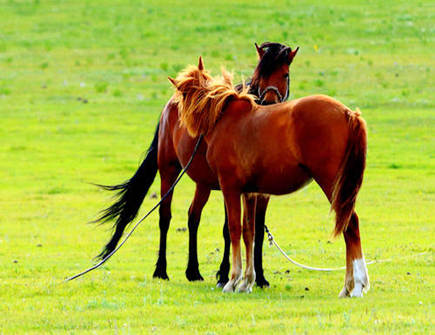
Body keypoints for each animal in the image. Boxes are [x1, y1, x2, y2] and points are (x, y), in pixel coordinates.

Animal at [95, 42, 300, 288]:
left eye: (285, 74)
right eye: (259, 74)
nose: (269, 102)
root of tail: (172, 102)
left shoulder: (260, 191)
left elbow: (256, 229)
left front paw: (259, 277)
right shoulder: (230, 185)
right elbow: (229, 228)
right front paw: (224, 274)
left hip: (203, 183)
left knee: (193, 217)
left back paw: (193, 270)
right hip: (169, 171)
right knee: (165, 216)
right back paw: (162, 270)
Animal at [170, 61, 372, 298]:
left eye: (181, 96)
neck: (225, 118)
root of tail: (348, 113)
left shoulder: (230, 188)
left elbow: (234, 230)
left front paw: (232, 280)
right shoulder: (250, 192)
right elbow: (249, 232)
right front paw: (247, 282)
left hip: (332, 183)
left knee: (351, 224)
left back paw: (356, 285)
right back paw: (348, 286)